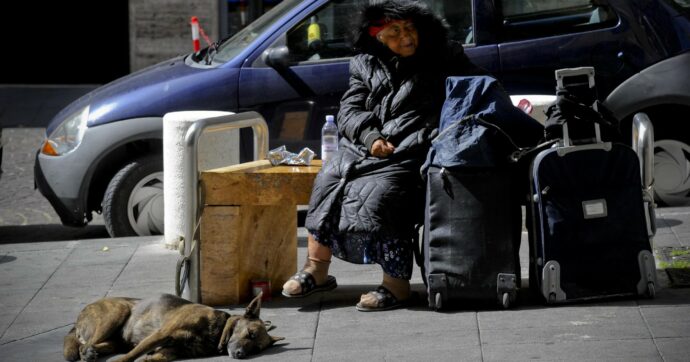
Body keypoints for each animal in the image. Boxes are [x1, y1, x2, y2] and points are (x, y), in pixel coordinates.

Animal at [62, 292, 282, 360]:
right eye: (250, 333)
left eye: (257, 348)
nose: (241, 355)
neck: (216, 331)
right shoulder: (160, 334)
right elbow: (129, 357)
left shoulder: (171, 352)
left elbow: (155, 357)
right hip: (116, 313)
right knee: (83, 344)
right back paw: (87, 353)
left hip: (116, 341)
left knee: (91, 345)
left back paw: (91, 352)